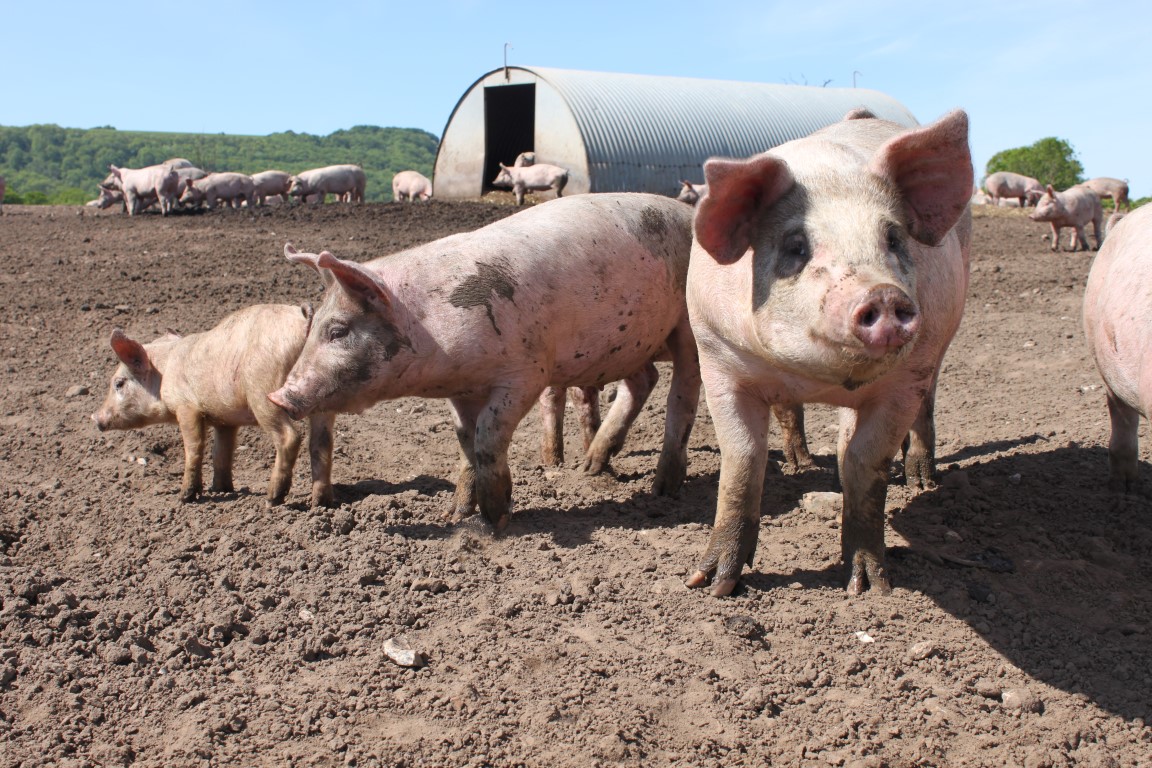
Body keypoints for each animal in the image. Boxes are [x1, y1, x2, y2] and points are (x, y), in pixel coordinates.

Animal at [91, 303, 336, 506]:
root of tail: (304, 323)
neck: (164, 373)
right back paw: (320, 503)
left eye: (119, 383)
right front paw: (221, 489)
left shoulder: (186, 407)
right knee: (321, 443)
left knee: (289, 437)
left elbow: (194, 446)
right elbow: (221, 452)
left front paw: (185, 498)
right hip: (321, 397)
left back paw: (272, 500)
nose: (96, 418)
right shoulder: (225, 420)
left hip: (263, 392)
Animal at [269, 193, 700, 534]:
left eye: (338, 331)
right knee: (644, 381)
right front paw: (456, 514)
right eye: (314, 326)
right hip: (632, 341)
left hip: (687, 327)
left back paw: (663, 491)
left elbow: (488, 437)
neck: (427, 326)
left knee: (683, 392)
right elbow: (465, 442)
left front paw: (495, 520)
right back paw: (591, 468)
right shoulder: (460, 391)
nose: (278, 397)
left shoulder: (525, 374)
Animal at [681, 108, 972, 598]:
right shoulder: (717, 358)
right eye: (796, 246)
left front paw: (869, 588)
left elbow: (867, 464)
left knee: (923, 407)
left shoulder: (903, 381)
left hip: (939, 345)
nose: (882, 294)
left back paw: (919, 479)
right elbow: (742, 460)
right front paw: (710, 585)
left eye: (893, 239)